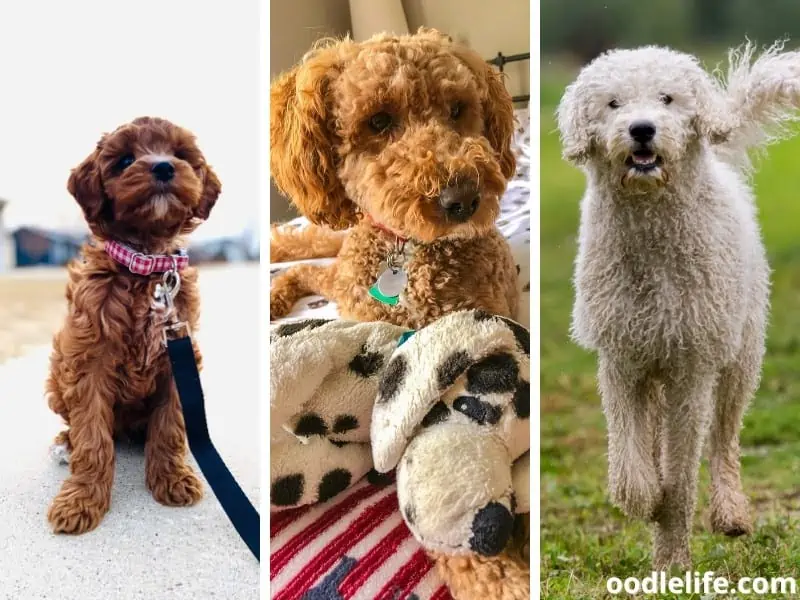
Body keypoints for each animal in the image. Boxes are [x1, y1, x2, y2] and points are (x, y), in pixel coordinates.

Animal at [47, 117, 222, 536]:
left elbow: (170, 425)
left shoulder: (179, 357)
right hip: (57, 374)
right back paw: (65, 441)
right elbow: (92, 436)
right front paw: (81, 500)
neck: (146, 263)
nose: (164, 167)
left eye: (179, 154)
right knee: (78, 425)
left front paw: (172, 478)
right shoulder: (88, 360)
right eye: (125, 160)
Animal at [560, 41, 800, 568]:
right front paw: (646, 500)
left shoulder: (691, 370)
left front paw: (672, 557)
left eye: (667, 98)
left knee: (725, 438)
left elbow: (683, 471)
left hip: (739, 359)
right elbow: (630, 461)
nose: (641, 129)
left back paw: (730, 512)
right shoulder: (621, 360)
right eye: (613, 103)